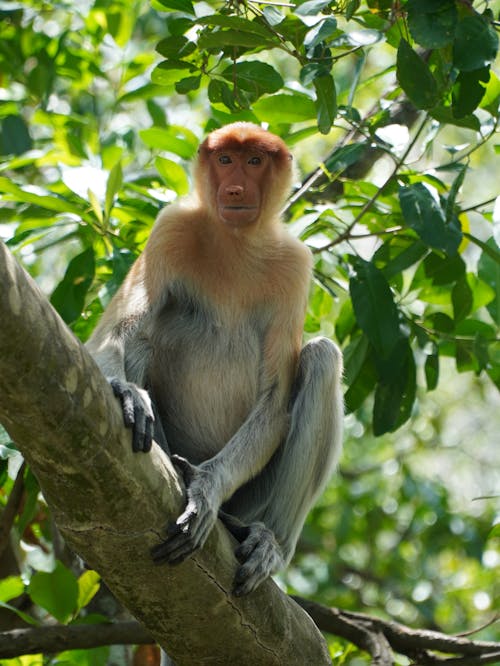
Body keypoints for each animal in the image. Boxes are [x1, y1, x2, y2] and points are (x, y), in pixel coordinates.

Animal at [87, 122, 344, 592]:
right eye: (225, 160)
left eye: (254, 161)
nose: (236, 188)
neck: (235, 241)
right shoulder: (170, 229)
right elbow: (113, 334)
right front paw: (127, 392)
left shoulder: (296, 265)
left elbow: (275, 400)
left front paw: (205, 489)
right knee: (143, 338)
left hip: (249, 499)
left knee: (321, 358)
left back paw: (269, 542)